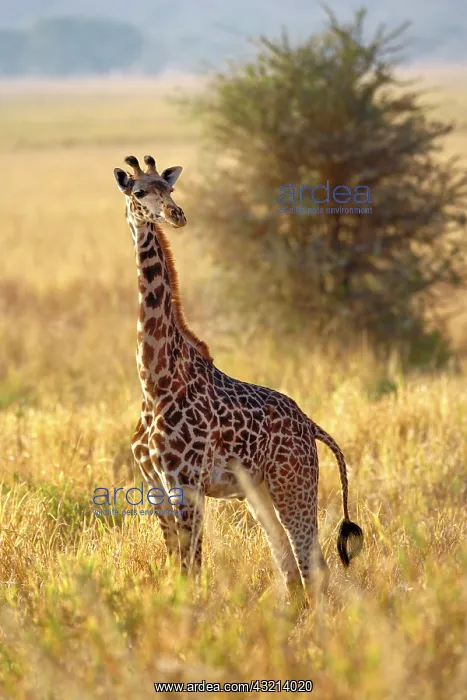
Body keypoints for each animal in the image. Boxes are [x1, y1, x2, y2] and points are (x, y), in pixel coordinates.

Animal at [114, 154, 363, 599]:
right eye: (139, 191)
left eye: (169, 188)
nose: (176, 215)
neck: (155, 379)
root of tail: (312, 425)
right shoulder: (155, 484)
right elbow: (176, 566)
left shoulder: (187, 481)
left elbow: (192, 568)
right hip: (258, 491)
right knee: (289, 567)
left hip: (292, 482)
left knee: (312, 566)